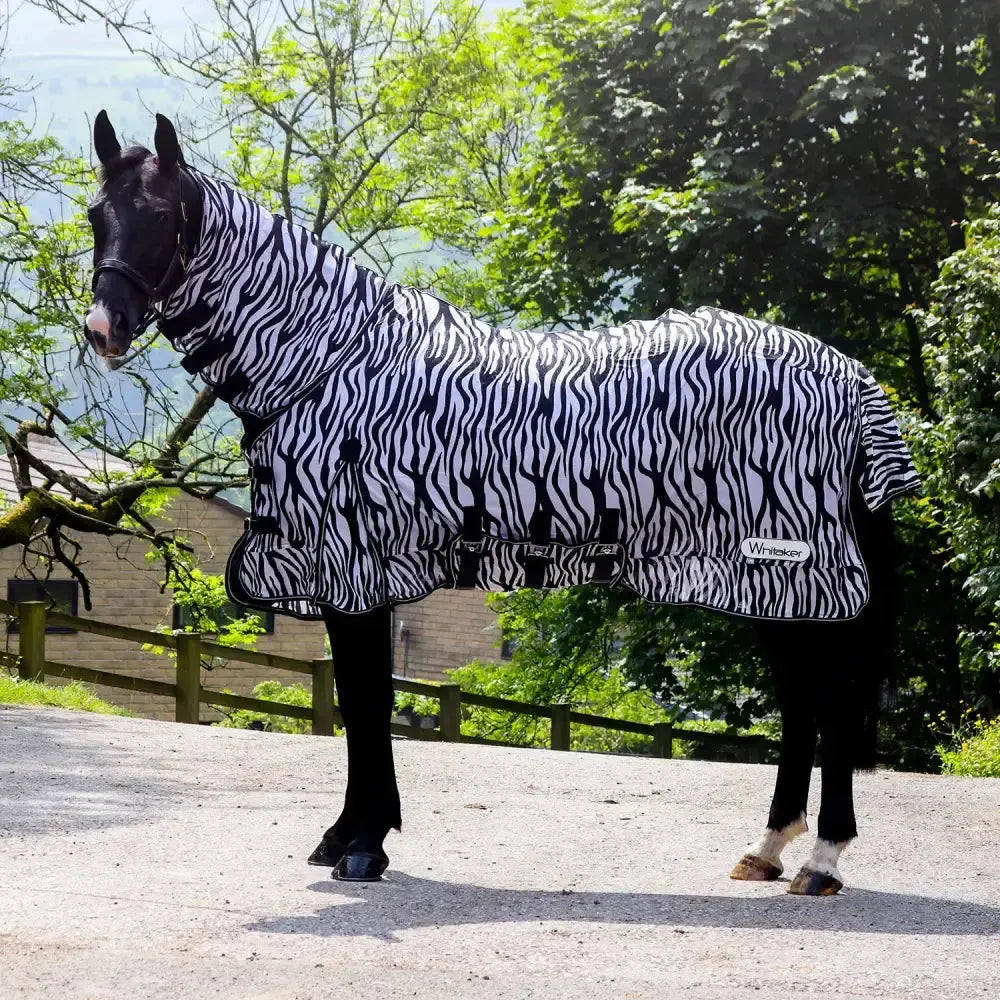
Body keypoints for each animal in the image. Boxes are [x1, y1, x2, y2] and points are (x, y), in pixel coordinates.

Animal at [84, 111, 919, 894]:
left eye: (162, 216)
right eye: (97, 214)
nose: (103, 328)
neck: (331, 364)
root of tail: (852, 379)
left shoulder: (356, 570)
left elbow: (367, 703)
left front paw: (364, 844)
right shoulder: (347, 576)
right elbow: (358, 701)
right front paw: (348, 834)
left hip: (802, 574)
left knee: (834, 703)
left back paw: (823, 859)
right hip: (775, 585)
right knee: (803, 704)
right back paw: (769, 849)